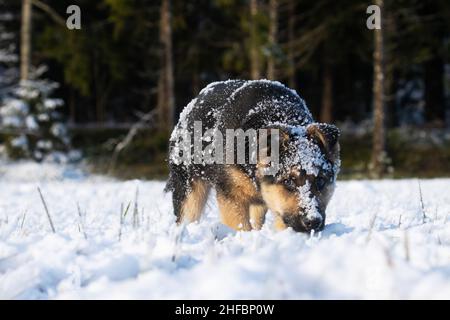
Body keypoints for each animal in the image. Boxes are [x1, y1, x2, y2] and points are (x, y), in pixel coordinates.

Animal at [166, 79, 342, 232]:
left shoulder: (275, 202)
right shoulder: (232, 197)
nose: (313, 222)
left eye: (320, 181)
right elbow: (241, 227)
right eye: (288, 181)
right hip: (190, 194)